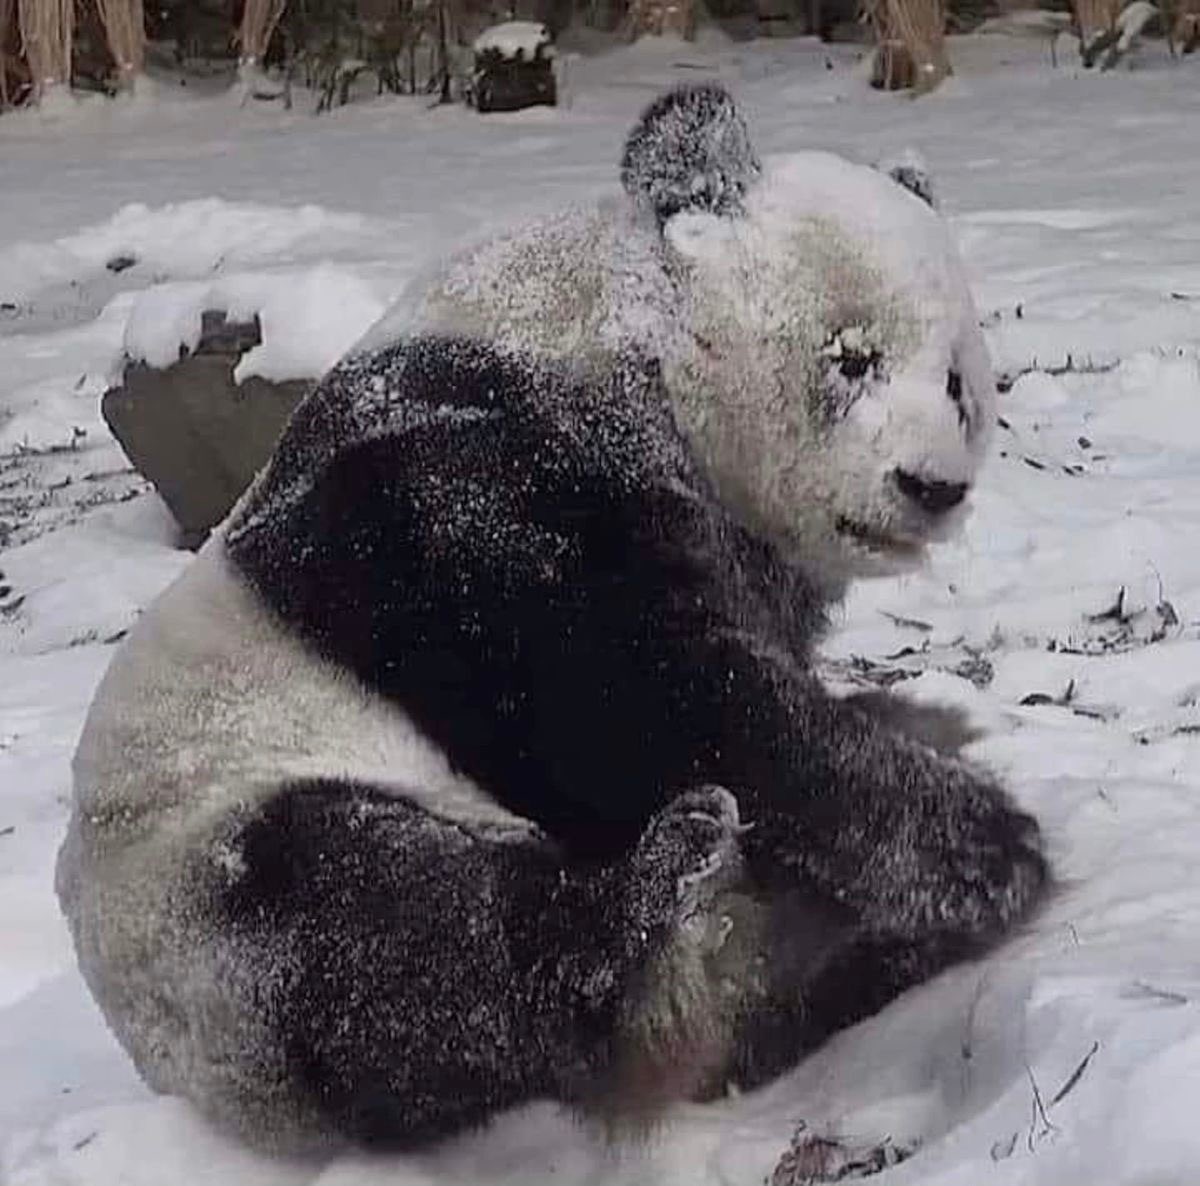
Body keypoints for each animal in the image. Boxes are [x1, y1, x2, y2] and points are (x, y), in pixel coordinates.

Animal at [56, 85, 1046, 1157]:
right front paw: (981, 846)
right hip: (204, 904)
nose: (932, 486)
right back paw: (658, 891)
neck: (636, 332)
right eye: (851, 360)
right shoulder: (469, 473)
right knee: (391, 938)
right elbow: (619, 699)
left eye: (957, 384)